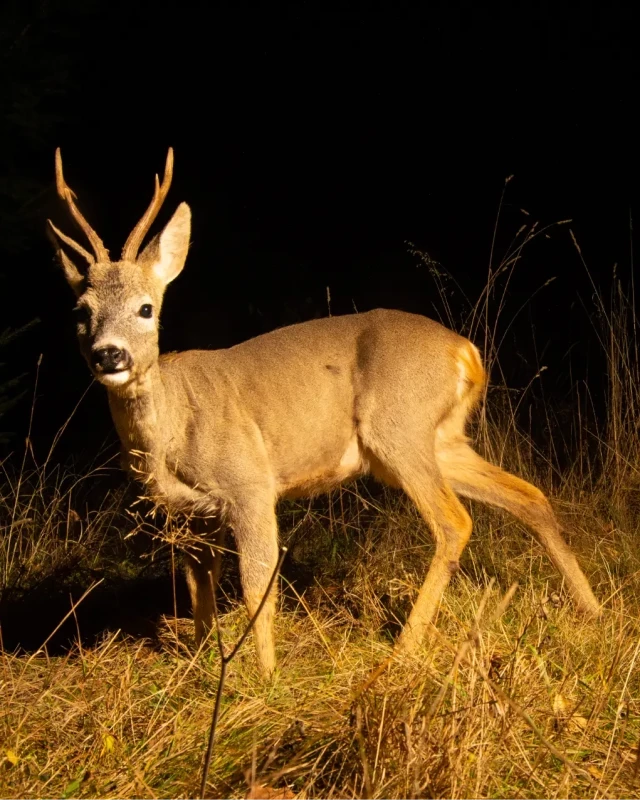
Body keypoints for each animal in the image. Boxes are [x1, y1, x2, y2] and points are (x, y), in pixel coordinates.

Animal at [47, 148, 601, 677]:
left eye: (146, 308)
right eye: (81, 312)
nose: (109, 354)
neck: (171, 429)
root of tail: (466, 352)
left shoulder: (249, 483)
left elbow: (258, 585)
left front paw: (265, 679)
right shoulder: (189, 512)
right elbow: (198, 586)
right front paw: (200, 664)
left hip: (398, 429)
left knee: (454, 521)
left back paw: (402, 650)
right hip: (441, 439)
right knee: (528, 495)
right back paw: (592, 609)